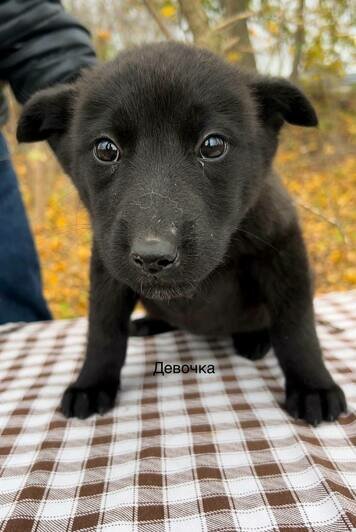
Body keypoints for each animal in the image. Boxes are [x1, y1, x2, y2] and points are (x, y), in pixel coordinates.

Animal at [16, 41, 344, 426]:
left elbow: (297, 328)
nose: (153, 257)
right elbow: (103, 329)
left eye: (213, 145)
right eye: (105, 149)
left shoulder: (283, 251)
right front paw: (92, 383)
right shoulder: (107, 270)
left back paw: (254, 340)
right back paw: (149, 323)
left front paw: (313, 385)